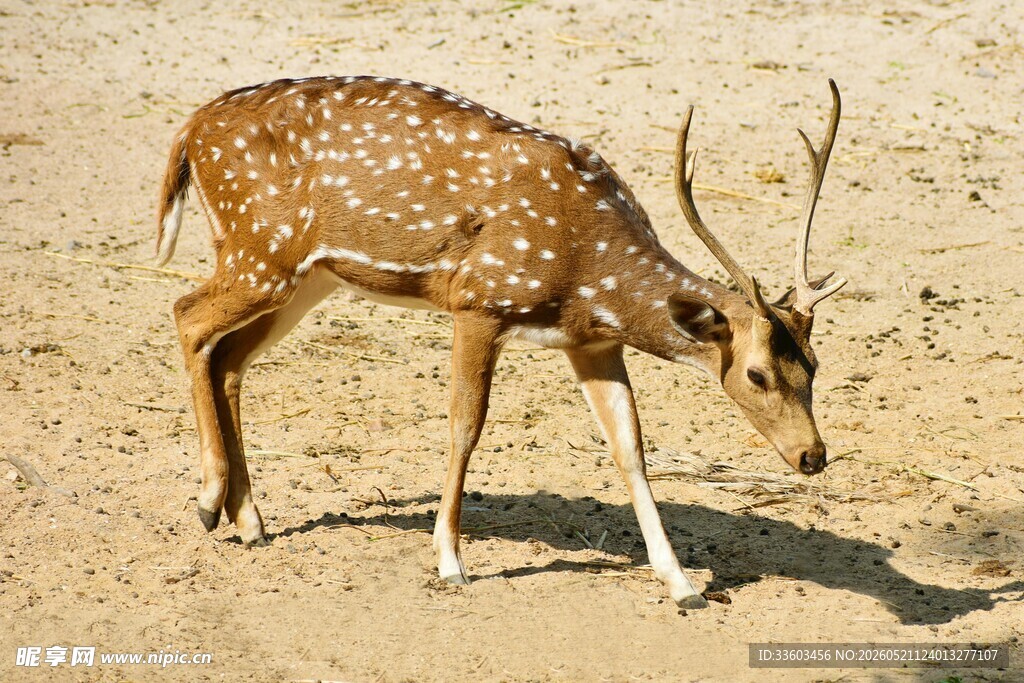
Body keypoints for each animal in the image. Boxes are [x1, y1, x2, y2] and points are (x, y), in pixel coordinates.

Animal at [156, 75, 845, 609]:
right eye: (756, 374)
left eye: (814, 365)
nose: (813, 456)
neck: (587, 269)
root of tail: (189, 130)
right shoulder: (479, 300)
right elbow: (466, 424)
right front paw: (450, 561)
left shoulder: (590, 343)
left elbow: (631, 447)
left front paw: (682, 585)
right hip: (260, 251)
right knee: (187, 315)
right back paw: (209, 501)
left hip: (303, 276)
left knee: (229, 357)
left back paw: (250, 521)